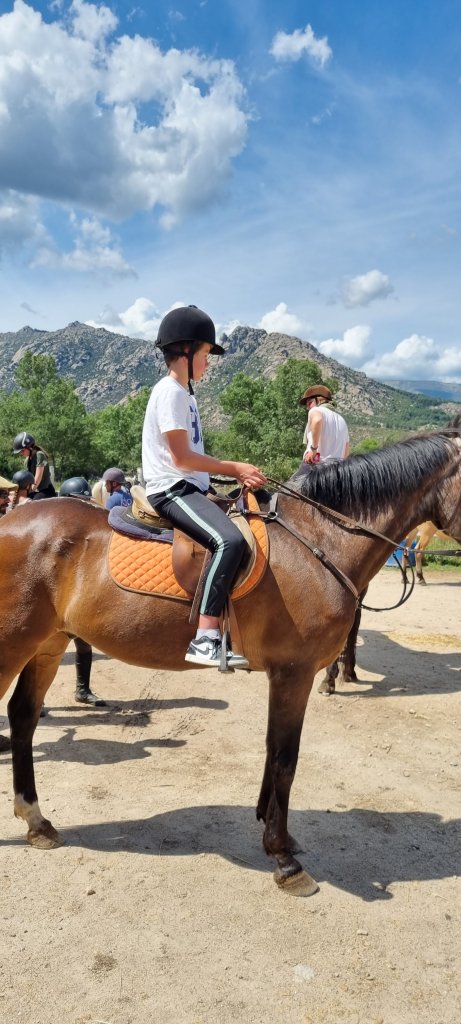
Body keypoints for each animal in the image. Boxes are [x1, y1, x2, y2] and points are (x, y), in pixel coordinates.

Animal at [1, 430, 460, 896]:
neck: (318, 542)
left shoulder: (285, 675)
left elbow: (273, 749)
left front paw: (274, 830)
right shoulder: (294, 673)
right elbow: (285, 758)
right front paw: (283, 858)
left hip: (48, 644)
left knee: (23, 715)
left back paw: (37, 821)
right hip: (13, 642)